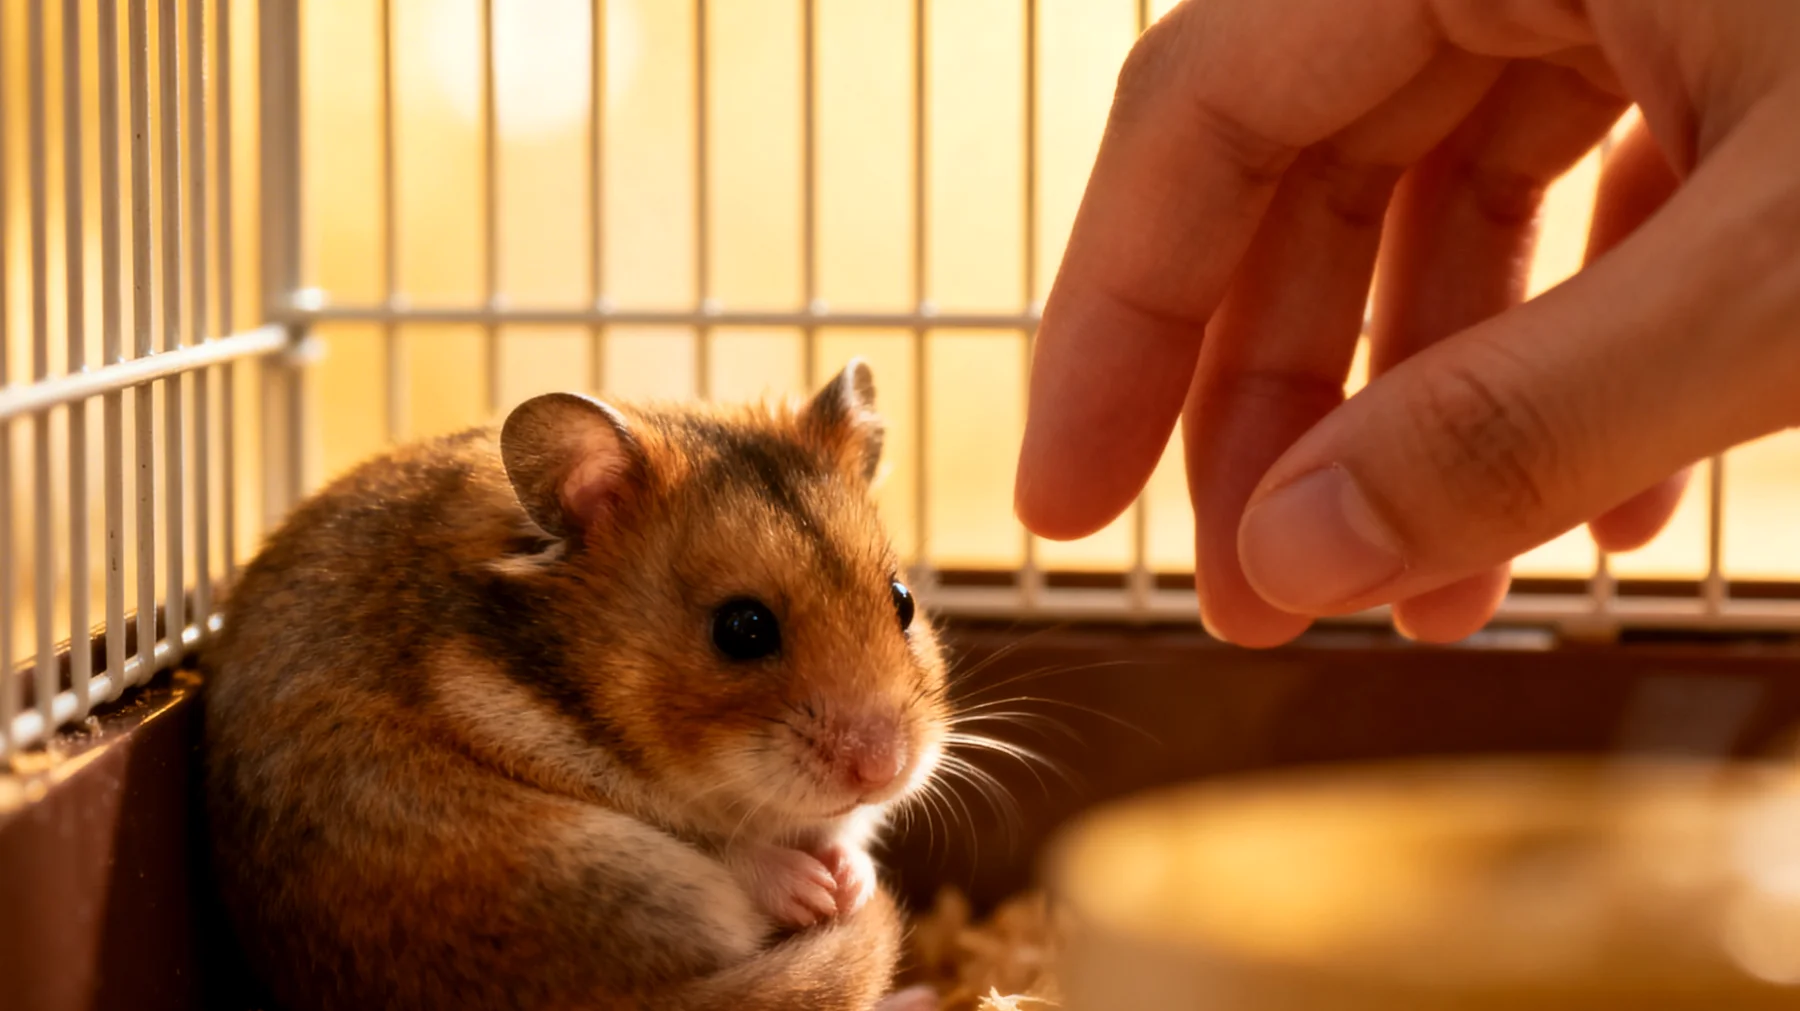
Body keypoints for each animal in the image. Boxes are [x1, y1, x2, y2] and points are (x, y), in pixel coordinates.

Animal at [203, 360, 951, 1011]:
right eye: (742, 628)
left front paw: (852, 883)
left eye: (903, 600)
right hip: (622, 877)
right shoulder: (511, 728)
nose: (882, 770)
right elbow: (726, 846)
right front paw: (824, 894)